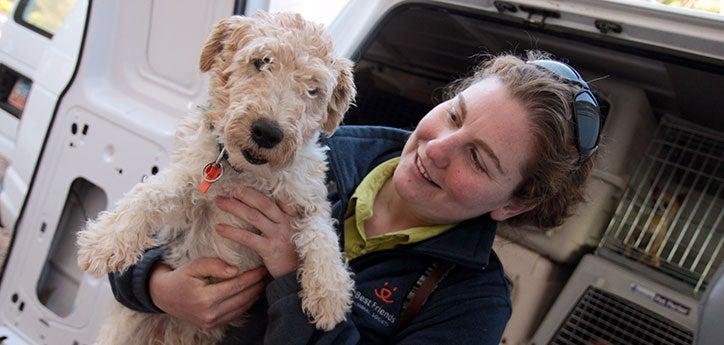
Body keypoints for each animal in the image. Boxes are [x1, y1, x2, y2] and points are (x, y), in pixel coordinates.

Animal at [76, 11, 356, 344]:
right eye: (261, 61)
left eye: (313, 89)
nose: (267, 132)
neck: (246, 173)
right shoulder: (191, 182)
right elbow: (150, 193)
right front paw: (105, 241)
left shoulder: (308, 199)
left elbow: (321, 234)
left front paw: (330, 293)